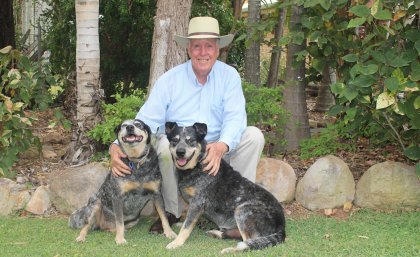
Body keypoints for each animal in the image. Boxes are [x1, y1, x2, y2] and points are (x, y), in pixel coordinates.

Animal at [164, 121, 286, 252]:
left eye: (191, 140)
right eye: (174, 140)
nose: (180, 152)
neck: (198, 164)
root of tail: (282, 226)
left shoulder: (197, 203)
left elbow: (187, 226)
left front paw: (176, 242)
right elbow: (188, 221)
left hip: (242, 210)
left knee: (248, 242)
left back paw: (230, 250)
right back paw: (216, 233)